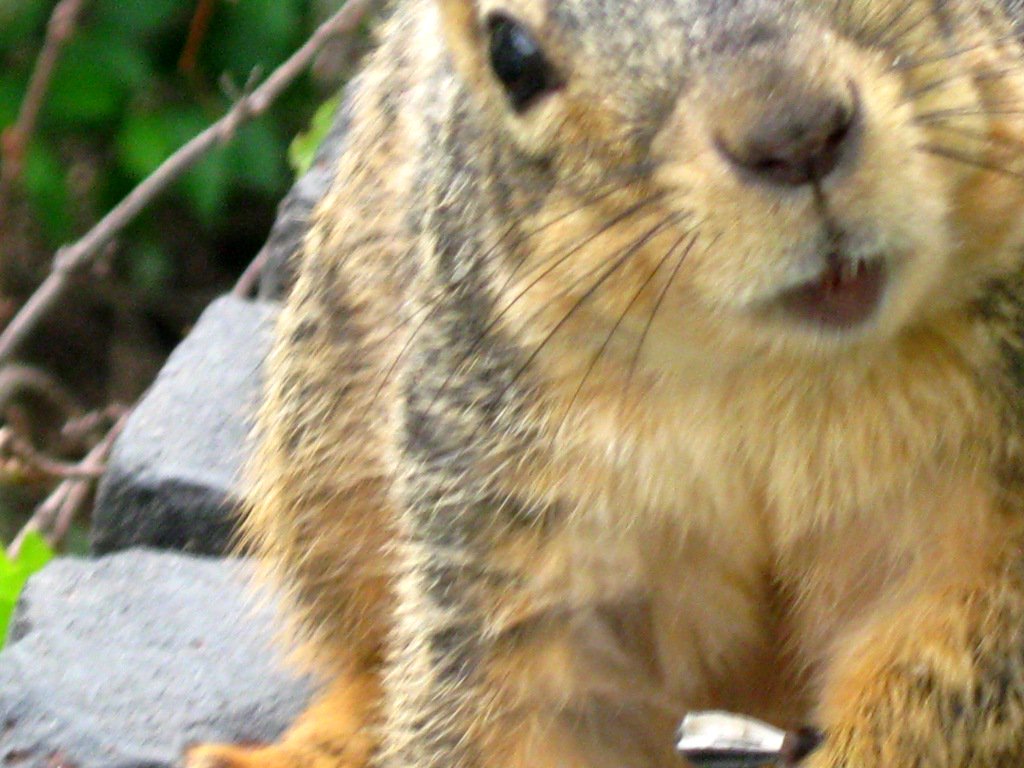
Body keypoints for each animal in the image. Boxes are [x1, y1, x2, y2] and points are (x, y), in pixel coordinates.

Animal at [189, 0, 1024, 766]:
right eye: (512, 56)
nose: (792, 133)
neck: (767, 370)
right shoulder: (517, 526)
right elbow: (513, 709)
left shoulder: (979, 521)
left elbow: (945, 677)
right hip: (327, 434)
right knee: (367, 649)